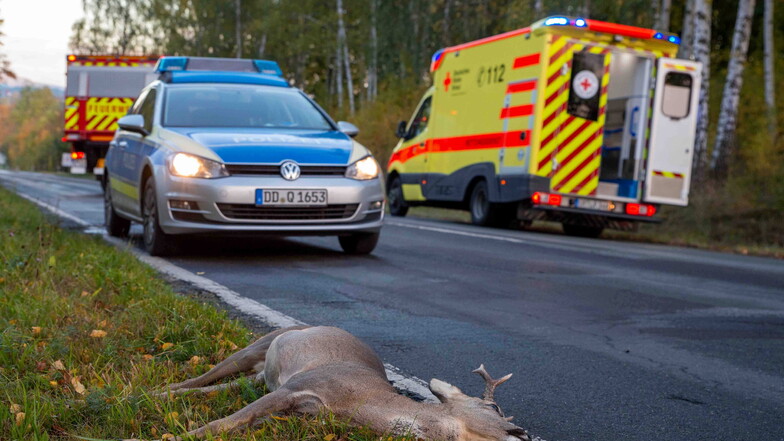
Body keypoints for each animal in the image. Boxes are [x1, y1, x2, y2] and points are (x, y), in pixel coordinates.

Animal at [130, 324, 532, 438]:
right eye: (493, 407)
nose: (524, 434)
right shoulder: (300, 386)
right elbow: (220, 424)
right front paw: (166, 438)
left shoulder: (300, 409)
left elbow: (240, 422)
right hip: (259, 345)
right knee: (208, 374)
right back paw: (145, 394)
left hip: (260, 378)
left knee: (220, 386)